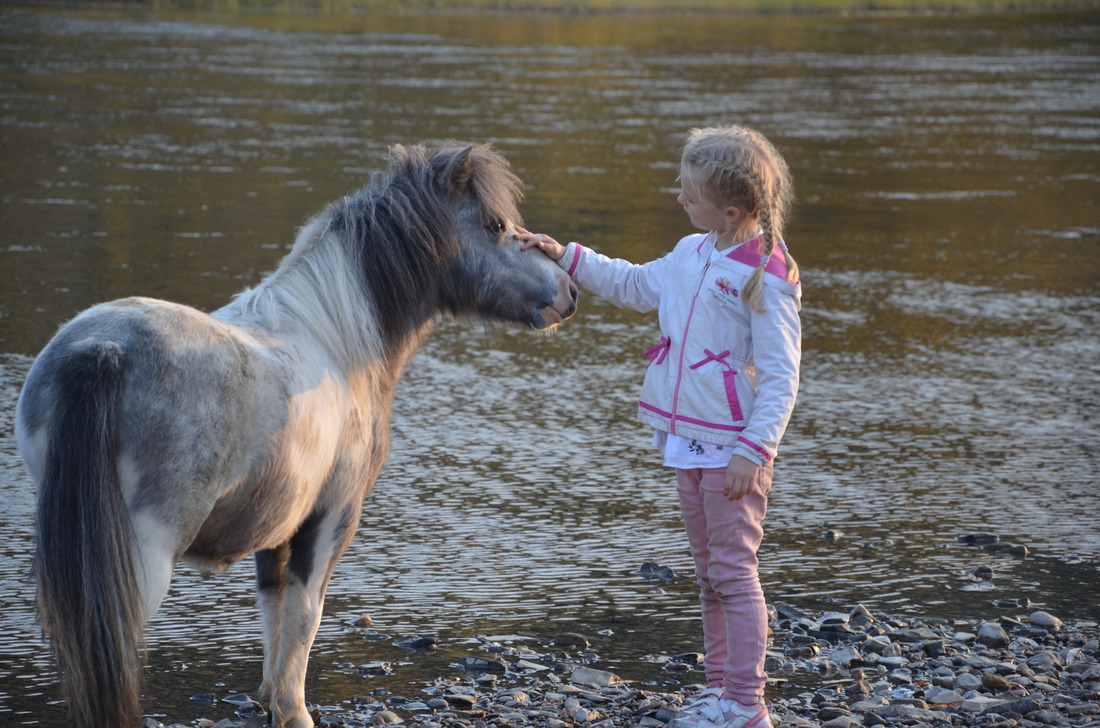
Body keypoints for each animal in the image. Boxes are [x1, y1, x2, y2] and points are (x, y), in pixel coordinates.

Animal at [12, 140, 580, 728]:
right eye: (495, 225)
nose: (568, 290)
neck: (337, 343)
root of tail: (102, 350)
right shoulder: (330, 519)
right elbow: (306, 613)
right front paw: (294, 709)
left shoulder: (275, 529)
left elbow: (273, 609)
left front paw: (268, 698)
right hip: (142, 555)